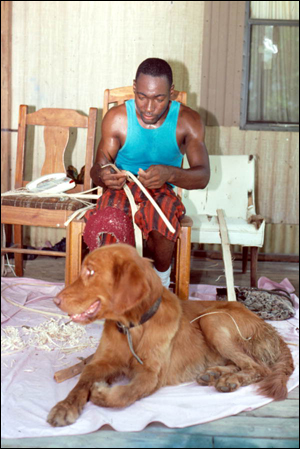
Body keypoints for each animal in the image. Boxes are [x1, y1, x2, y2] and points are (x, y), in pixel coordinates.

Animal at [47, 243, 292, 426]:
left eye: (90, 271)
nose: (55, 300)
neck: (133, 328)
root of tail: (271, 330)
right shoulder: (99, 362)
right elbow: (80, 383)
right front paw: (64, 407)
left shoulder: (151, 374)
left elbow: (126, 394)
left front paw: (101, 394)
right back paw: (214, 374)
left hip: (212, 319)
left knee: (258, 367)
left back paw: (230, 380)